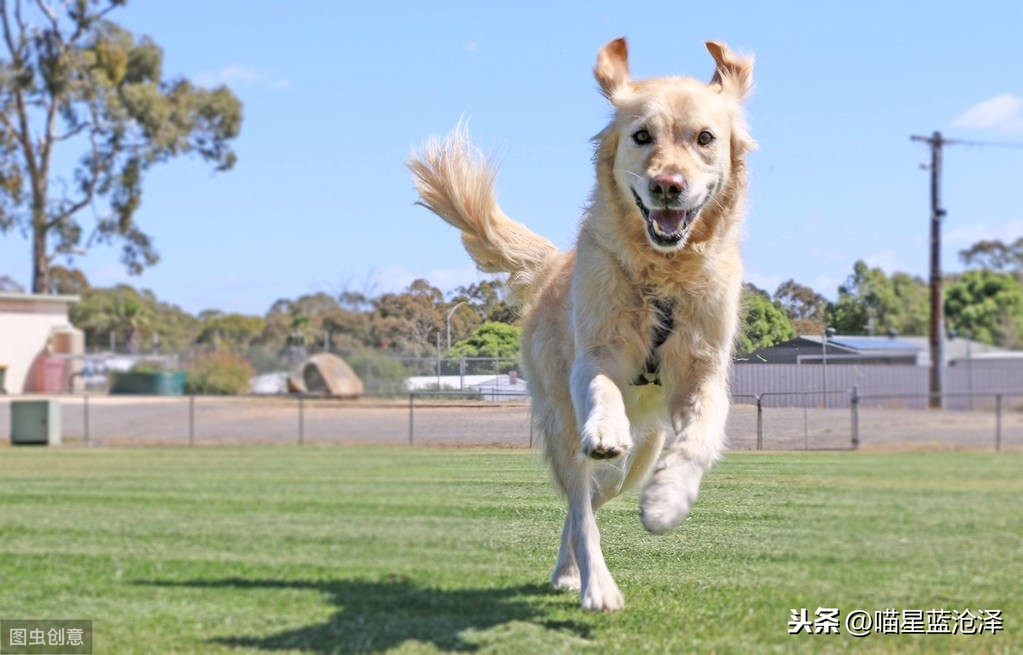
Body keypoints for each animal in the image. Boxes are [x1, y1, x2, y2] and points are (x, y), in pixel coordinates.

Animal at [407, 37, 752, 609]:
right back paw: (593, 584)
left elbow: (700, 440)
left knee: (586, 501)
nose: (667, 185)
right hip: (561, 424)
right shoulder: (595, 354)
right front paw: (607, 426)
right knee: (579, 505)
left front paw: (667, 501)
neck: (661, 273)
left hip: (636, 460)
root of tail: (551, 263)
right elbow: (602, 387)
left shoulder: (704, 372)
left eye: (704, 138)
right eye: (642, 136)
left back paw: (576, 566)